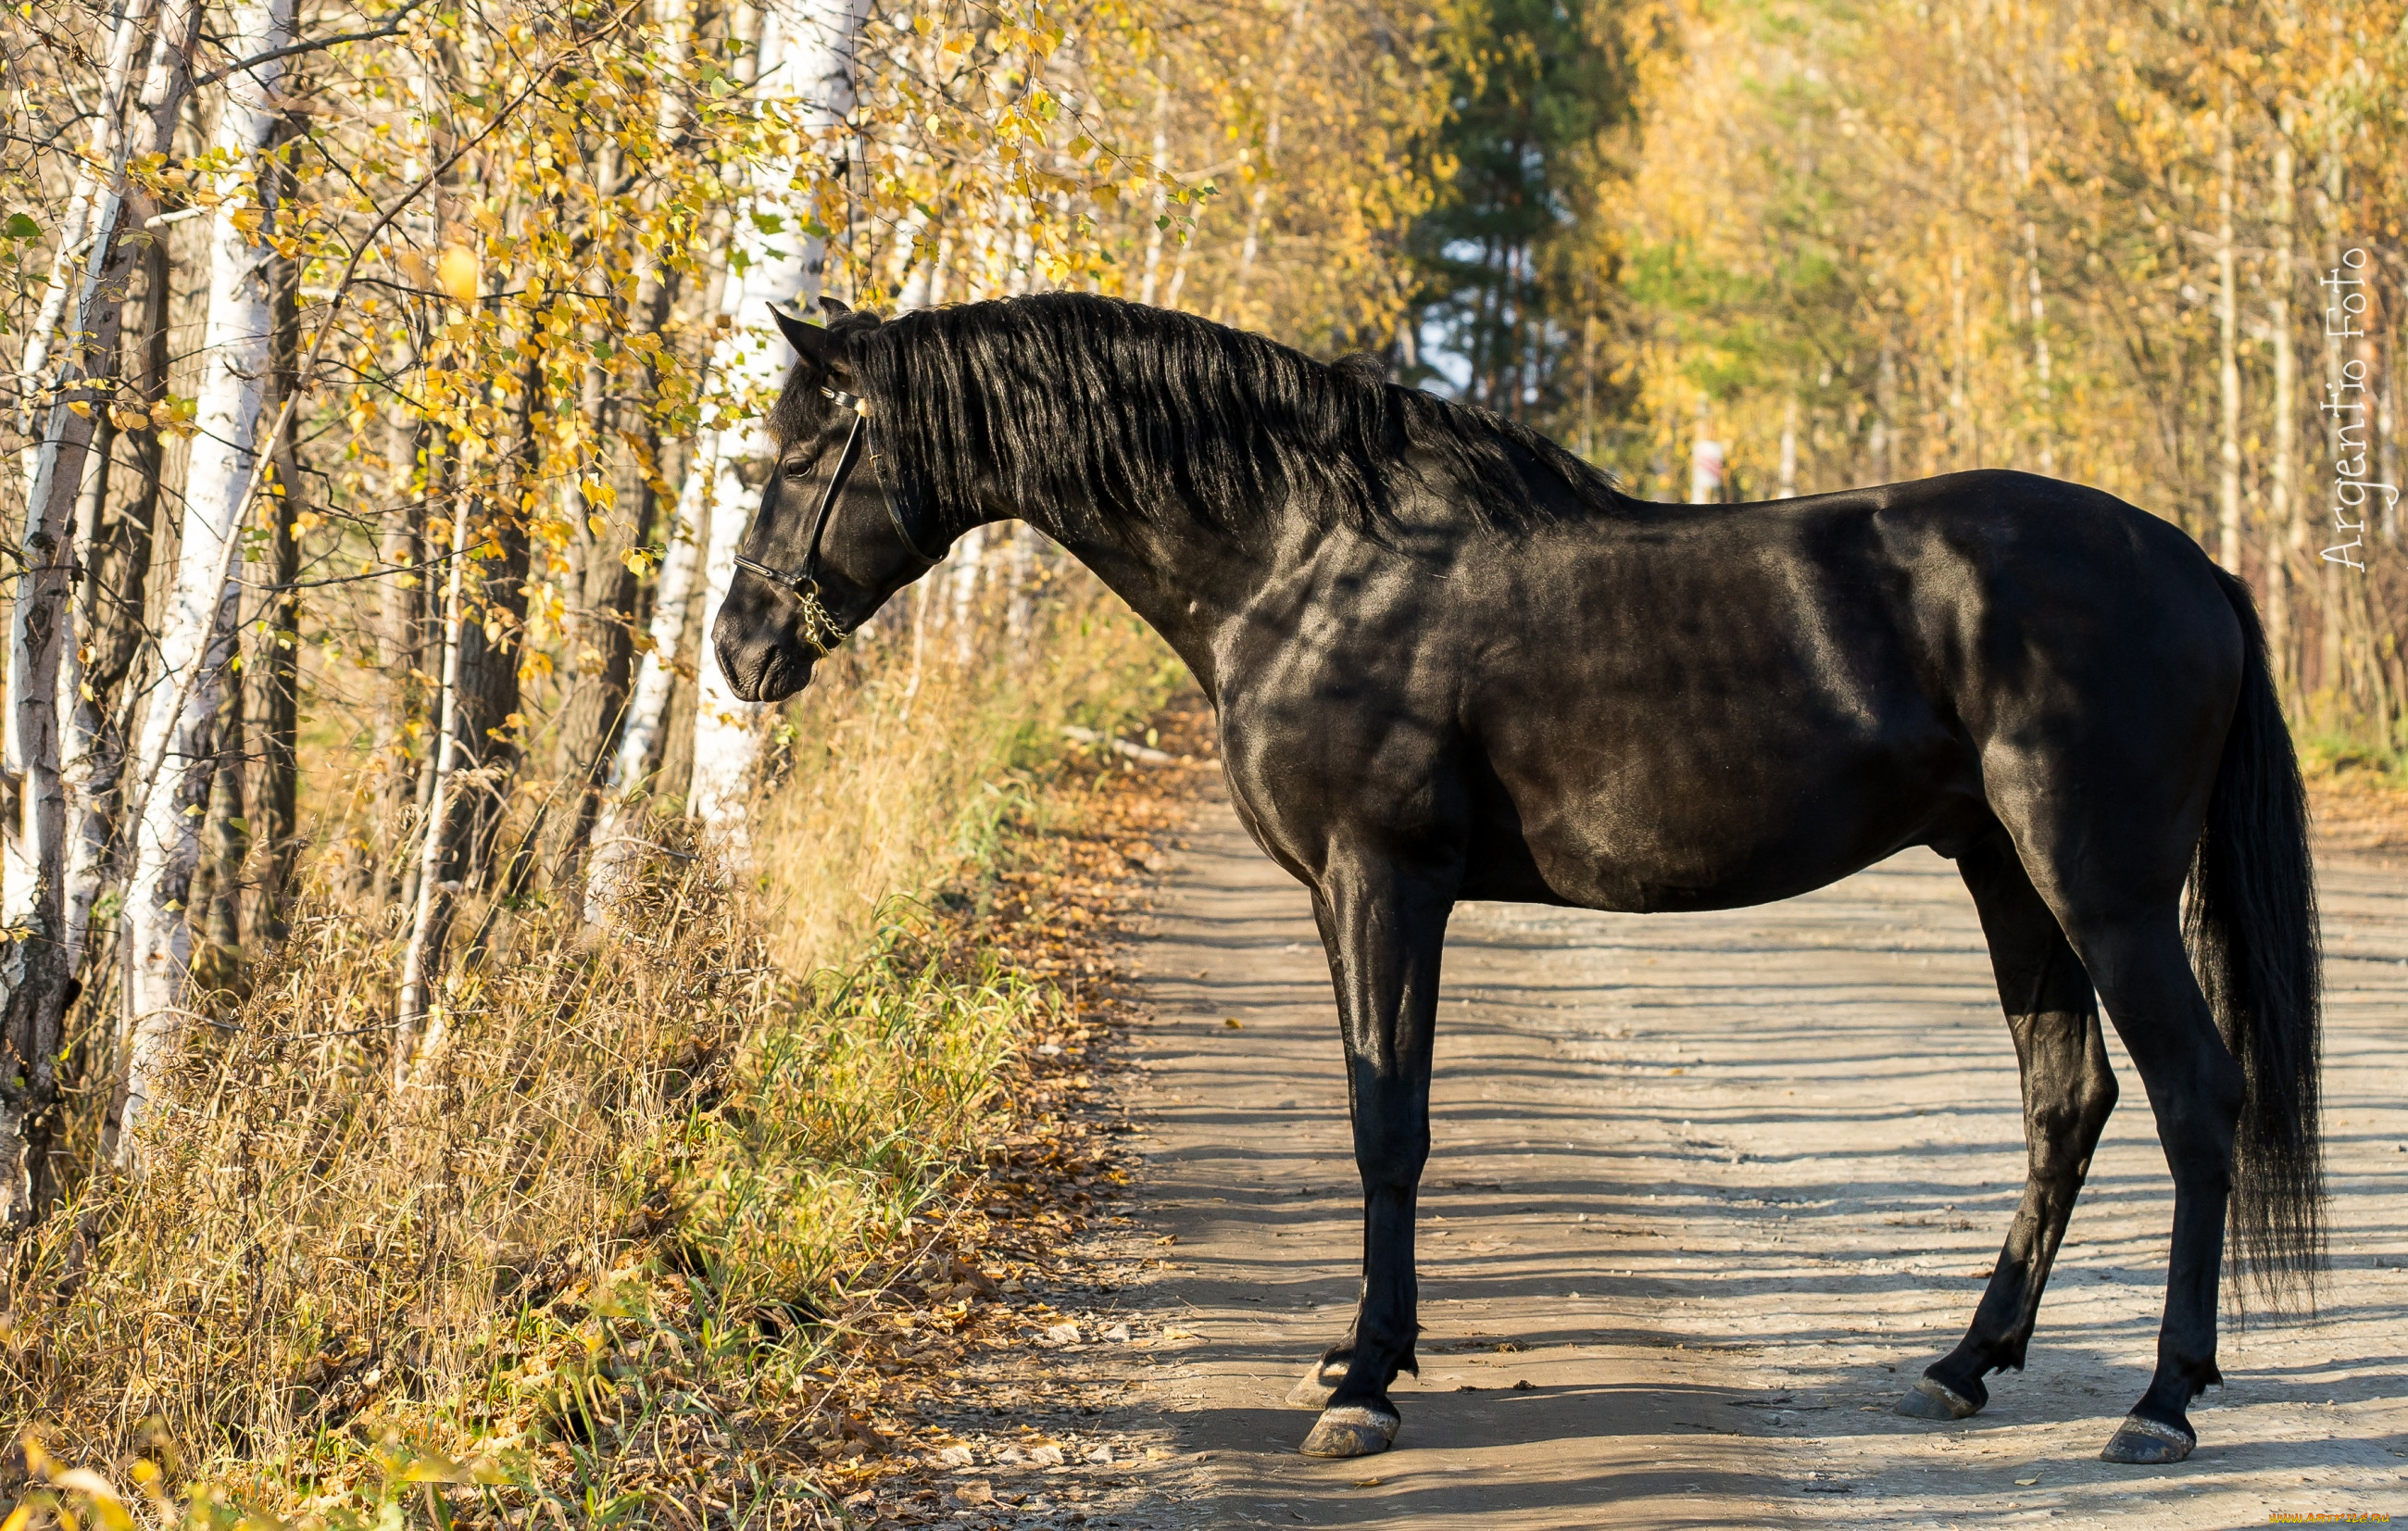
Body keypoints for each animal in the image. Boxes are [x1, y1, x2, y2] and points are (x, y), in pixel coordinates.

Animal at [708, 290, 2312, 1473]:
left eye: (797, 456)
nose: (737, 649)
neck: (1308, 562)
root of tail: (2200, 569)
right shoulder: (1341, 895)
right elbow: (1382, 1110)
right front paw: (1364, 1354)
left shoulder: (1384, 881)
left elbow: (1389, 1126)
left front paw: (1364, 1383)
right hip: (2006, 876)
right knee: (2067, 1101)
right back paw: (1967, 1363)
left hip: (2098, 886)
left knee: (2195, 1098)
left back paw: (2163, 1401)